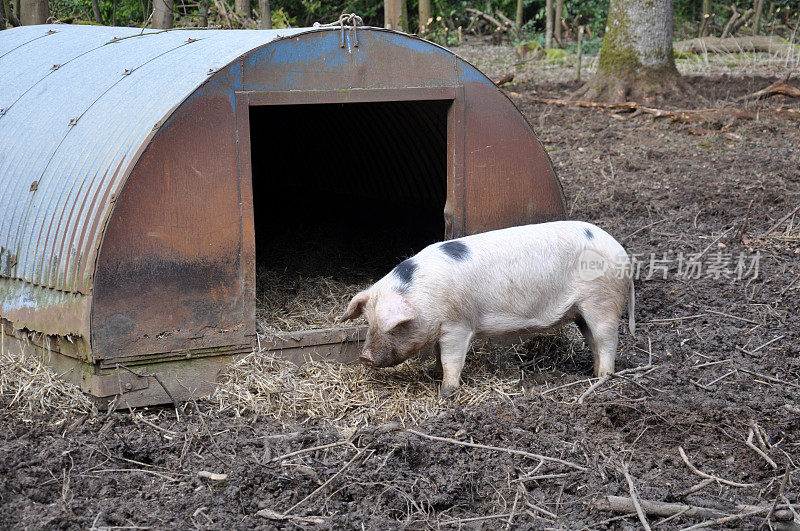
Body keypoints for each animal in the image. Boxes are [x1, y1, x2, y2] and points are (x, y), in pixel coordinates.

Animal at [340, 221, 636, 400]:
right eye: (369, 322)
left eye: (394, 326)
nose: (364, 357)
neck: (425, 299)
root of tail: (623, 254)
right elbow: (437, 355)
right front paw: (434, 375)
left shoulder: (457, 325)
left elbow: (451, 359)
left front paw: (446, 393)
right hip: (582, 312)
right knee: (594, 341)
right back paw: (593, 374)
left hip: (602, 301)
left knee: (608, 340)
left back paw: (603, 377)